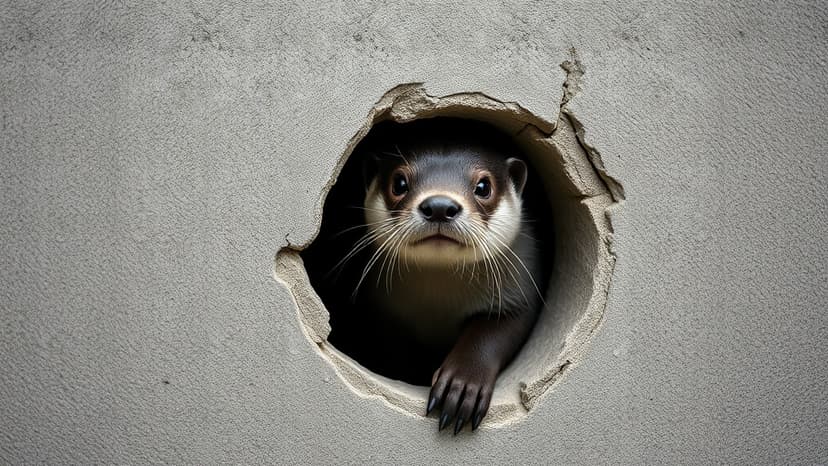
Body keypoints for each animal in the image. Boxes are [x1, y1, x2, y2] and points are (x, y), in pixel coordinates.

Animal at [348, 119, 544, 434]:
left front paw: (463, 385)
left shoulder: (520, 292)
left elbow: (493, 334)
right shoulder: (380, 312)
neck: (438, 306)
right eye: (399, 183)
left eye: (483, 186)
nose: (440, 206)